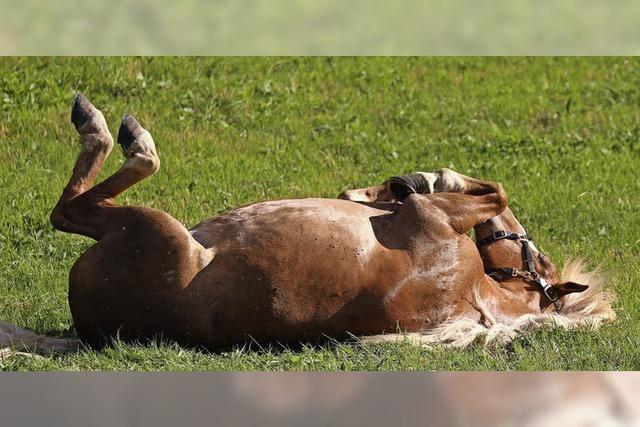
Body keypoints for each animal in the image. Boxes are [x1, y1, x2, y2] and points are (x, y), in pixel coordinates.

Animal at [47, 95, 612, 350]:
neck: (473, 293)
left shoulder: (430, 217)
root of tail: (91, 327)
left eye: (539, 256)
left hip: (155, 229)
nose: (515, 230)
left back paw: (108, 126)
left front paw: (431, 177)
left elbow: (495, 189)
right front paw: (402, 182)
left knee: (72, 208)